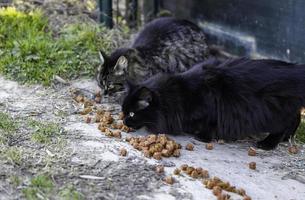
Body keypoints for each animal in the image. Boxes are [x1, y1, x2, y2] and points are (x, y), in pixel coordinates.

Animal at [121, 57, 304, 149]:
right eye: (123, 112)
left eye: (132, 113)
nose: (124, 121)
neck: (179, 95)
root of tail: (295, 69)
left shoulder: (212, 109)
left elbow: (210, 125)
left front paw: (202, 136)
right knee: (295, 119)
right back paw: (287, 138)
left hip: (273, 111)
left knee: (284, 125)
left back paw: (267, 143)